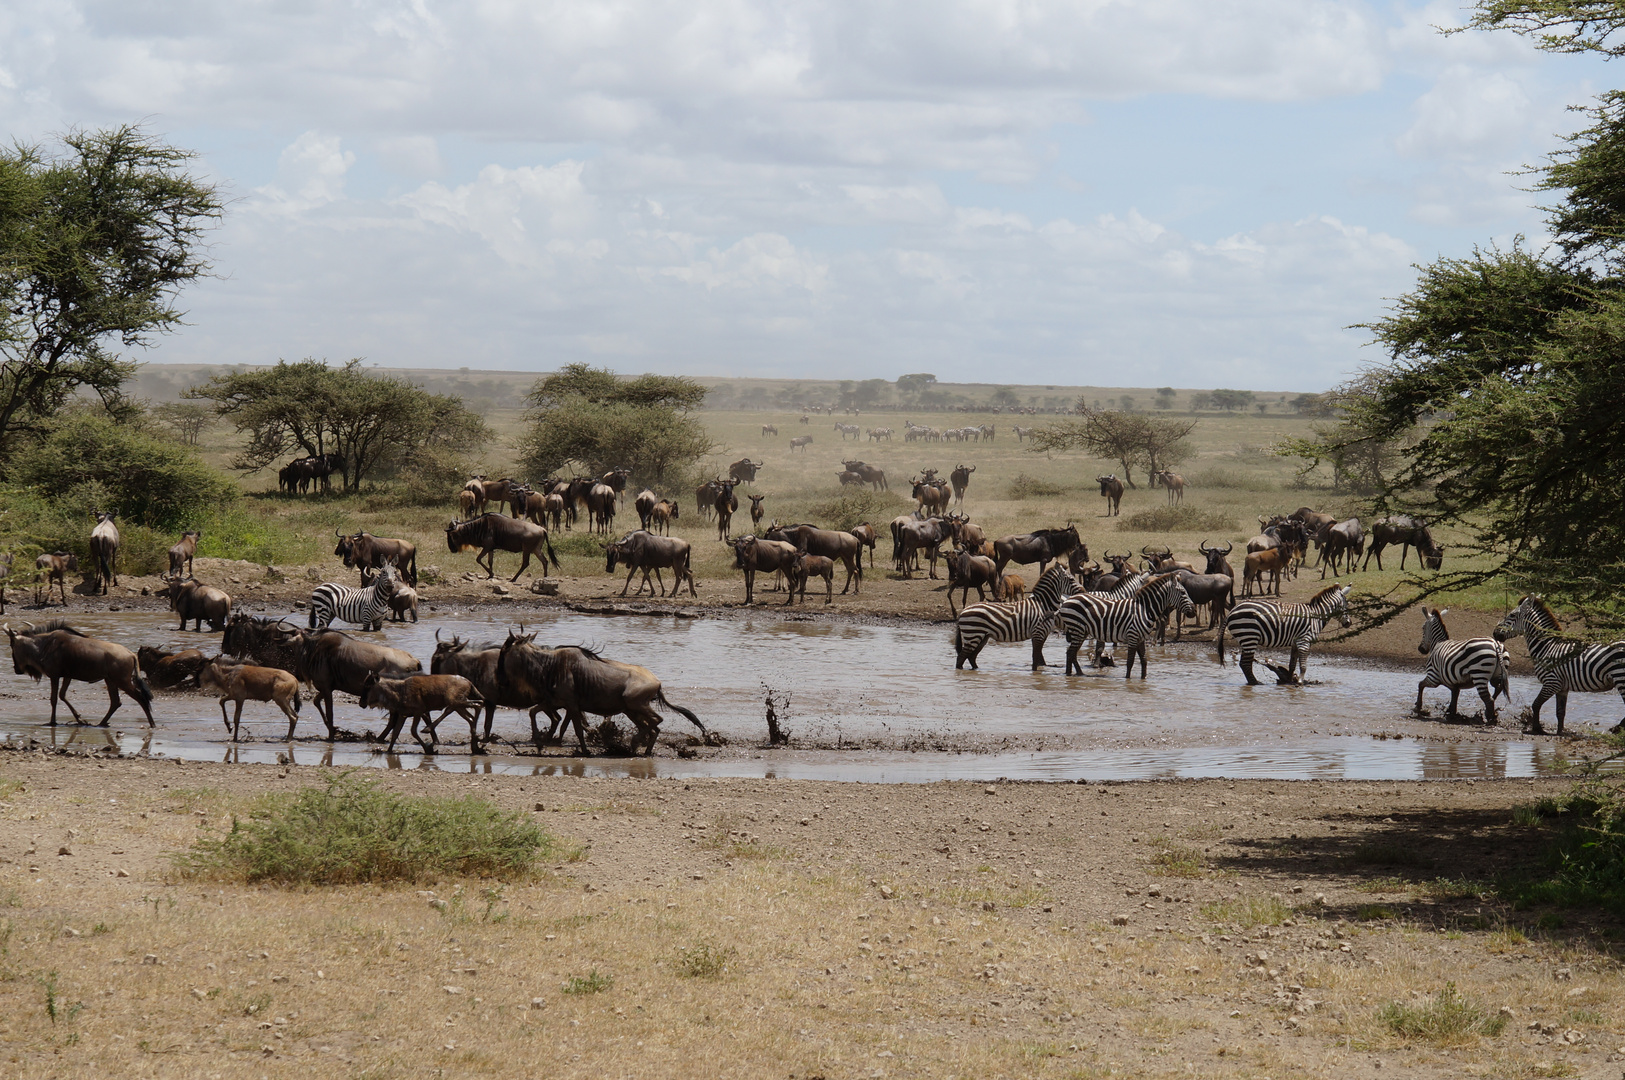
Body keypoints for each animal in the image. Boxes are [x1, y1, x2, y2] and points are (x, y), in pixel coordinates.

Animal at [949, 558, 1079, 669]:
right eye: (1071, 579)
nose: (1082, 590)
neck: (1043, 605)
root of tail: (964, 611)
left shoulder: (1041, 634)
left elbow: (1037, 657)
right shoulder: (1038, 632)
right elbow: (1036, 658)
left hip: (982, 636)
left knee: (971, 657)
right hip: (973, 634)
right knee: (961, 657)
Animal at [1053, 568, 1196, 678]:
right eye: (1183, 592)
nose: (1194, 611)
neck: (1144, 609)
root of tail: (1068, 599)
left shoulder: (1140, 638)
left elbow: (1144, 660)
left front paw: (1143, 679)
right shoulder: (1132, 635)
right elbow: (1130, 661)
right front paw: (1128, 680)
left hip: (1081, 631)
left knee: (1071, 653)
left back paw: (1075, 674)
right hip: (1077, 629)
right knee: (1071, 652)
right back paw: (1071, 675)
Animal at [1215, 581, 1352, 682]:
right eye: (1347, 605)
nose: (1349, 623)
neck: (1316, 616)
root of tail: (1232, 611)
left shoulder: (1296, 642)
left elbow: (1292, 665)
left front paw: (1289, 681)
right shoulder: (1304, 640)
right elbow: (1303, 666)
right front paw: (1300, 682)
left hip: (1246, 638)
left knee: (1244, 664)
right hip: (1250, 636)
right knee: (1245, 664)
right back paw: (1256, 683)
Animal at [1488, 594, 1625, 737]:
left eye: (1512, 615)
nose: (1495, 633)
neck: (1547, 647)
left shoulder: (1551, 682)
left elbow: (1536, 704)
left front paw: (1537, 729)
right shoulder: (1562, 688)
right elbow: (1560, 712)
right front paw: (1560, 731)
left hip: (1620, 677)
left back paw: (1617, 728)